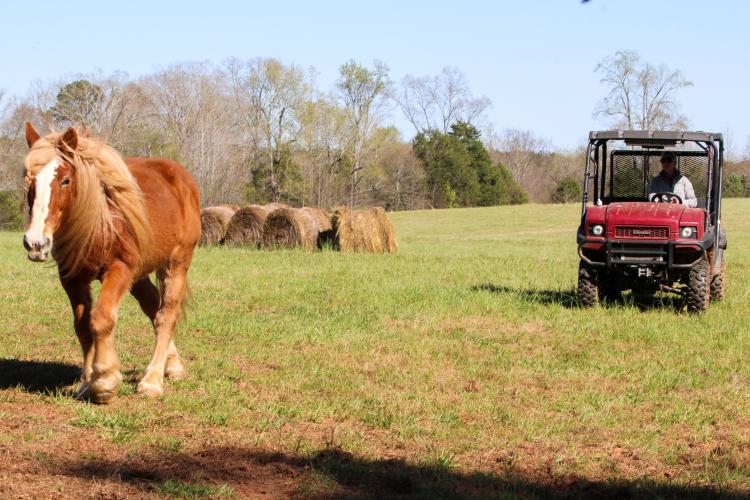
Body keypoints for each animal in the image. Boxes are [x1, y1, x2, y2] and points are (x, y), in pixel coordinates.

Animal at [22, 123, 201, 403]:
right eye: (29, 177)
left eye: (65, 180)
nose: (35, 243)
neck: (98, 222)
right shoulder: (72, 278)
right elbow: (83, 326)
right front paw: (87, 382)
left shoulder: (119, 269)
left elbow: (102, 319)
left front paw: (105, 381)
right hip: (140, 275)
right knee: (153, 307)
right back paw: (171, 365)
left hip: (176, 264)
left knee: (166, 315)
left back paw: (152, 380)